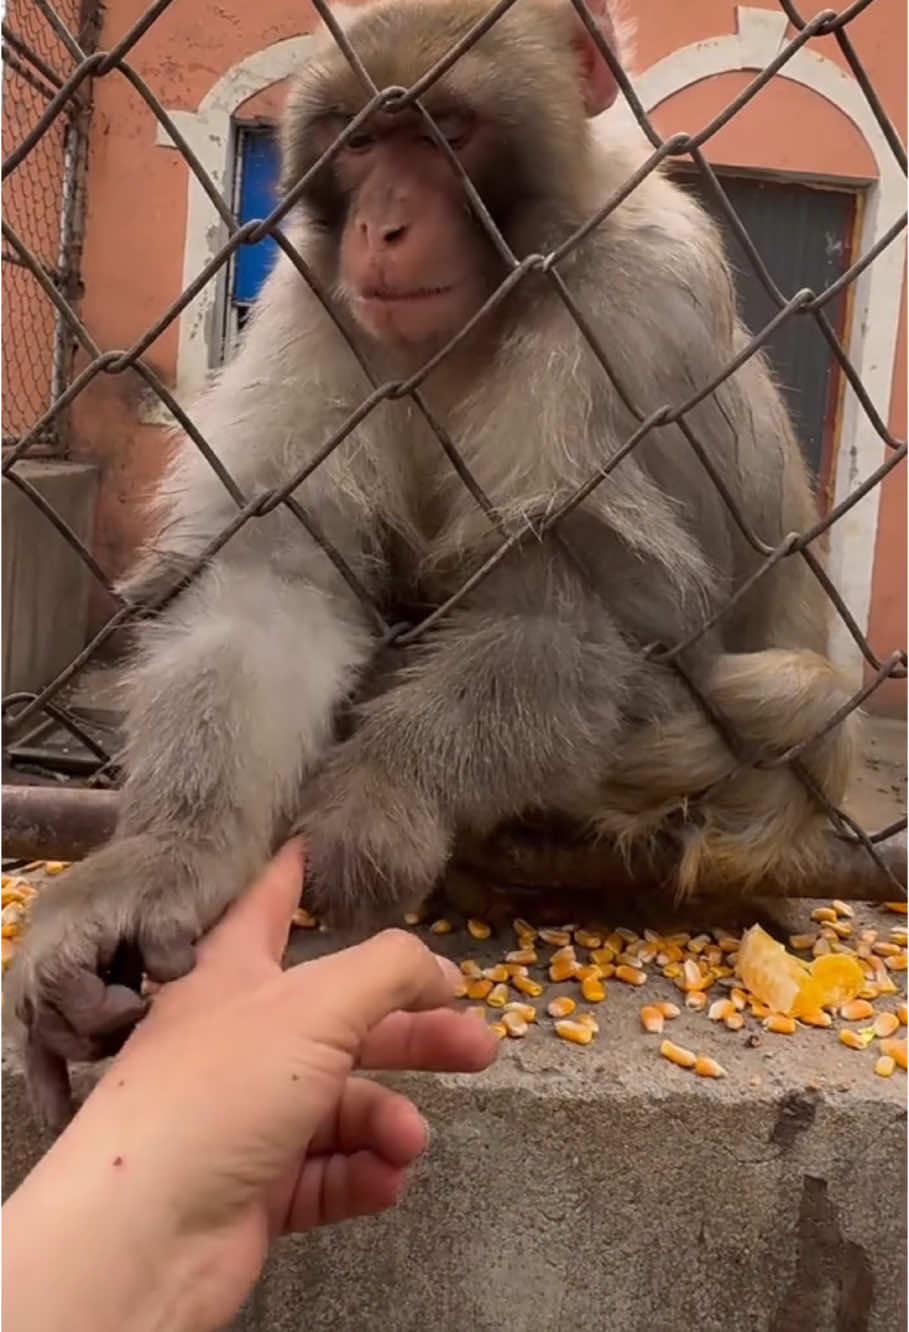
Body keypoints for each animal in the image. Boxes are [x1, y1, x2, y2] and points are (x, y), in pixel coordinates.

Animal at [8, 0, 863, 1128]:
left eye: (446, 129)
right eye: (363, 138)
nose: (384, 226)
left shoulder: (636, 301)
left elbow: (575, 618)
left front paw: (381, 796)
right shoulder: (316, 295)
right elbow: (279, 575)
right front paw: (166, 861)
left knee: (788, 697)